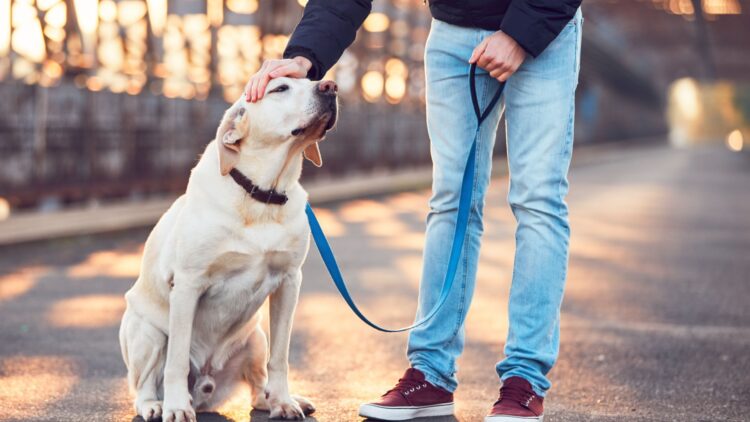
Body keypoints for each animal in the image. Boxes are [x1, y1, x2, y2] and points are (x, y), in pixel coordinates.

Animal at [119, 77, 338, 420]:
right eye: (280, 88)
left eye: (311, 80)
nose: (330, 86)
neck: (262, 195)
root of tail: (206, 389)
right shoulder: (187, 285)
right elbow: (176, 361)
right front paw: (176, 407)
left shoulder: (290, 281)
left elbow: (280, 358)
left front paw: (284, 401)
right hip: (145, 331)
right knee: (143, 385)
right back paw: (156, 404)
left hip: (256, 337)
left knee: (258, 384)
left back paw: (275, 399)